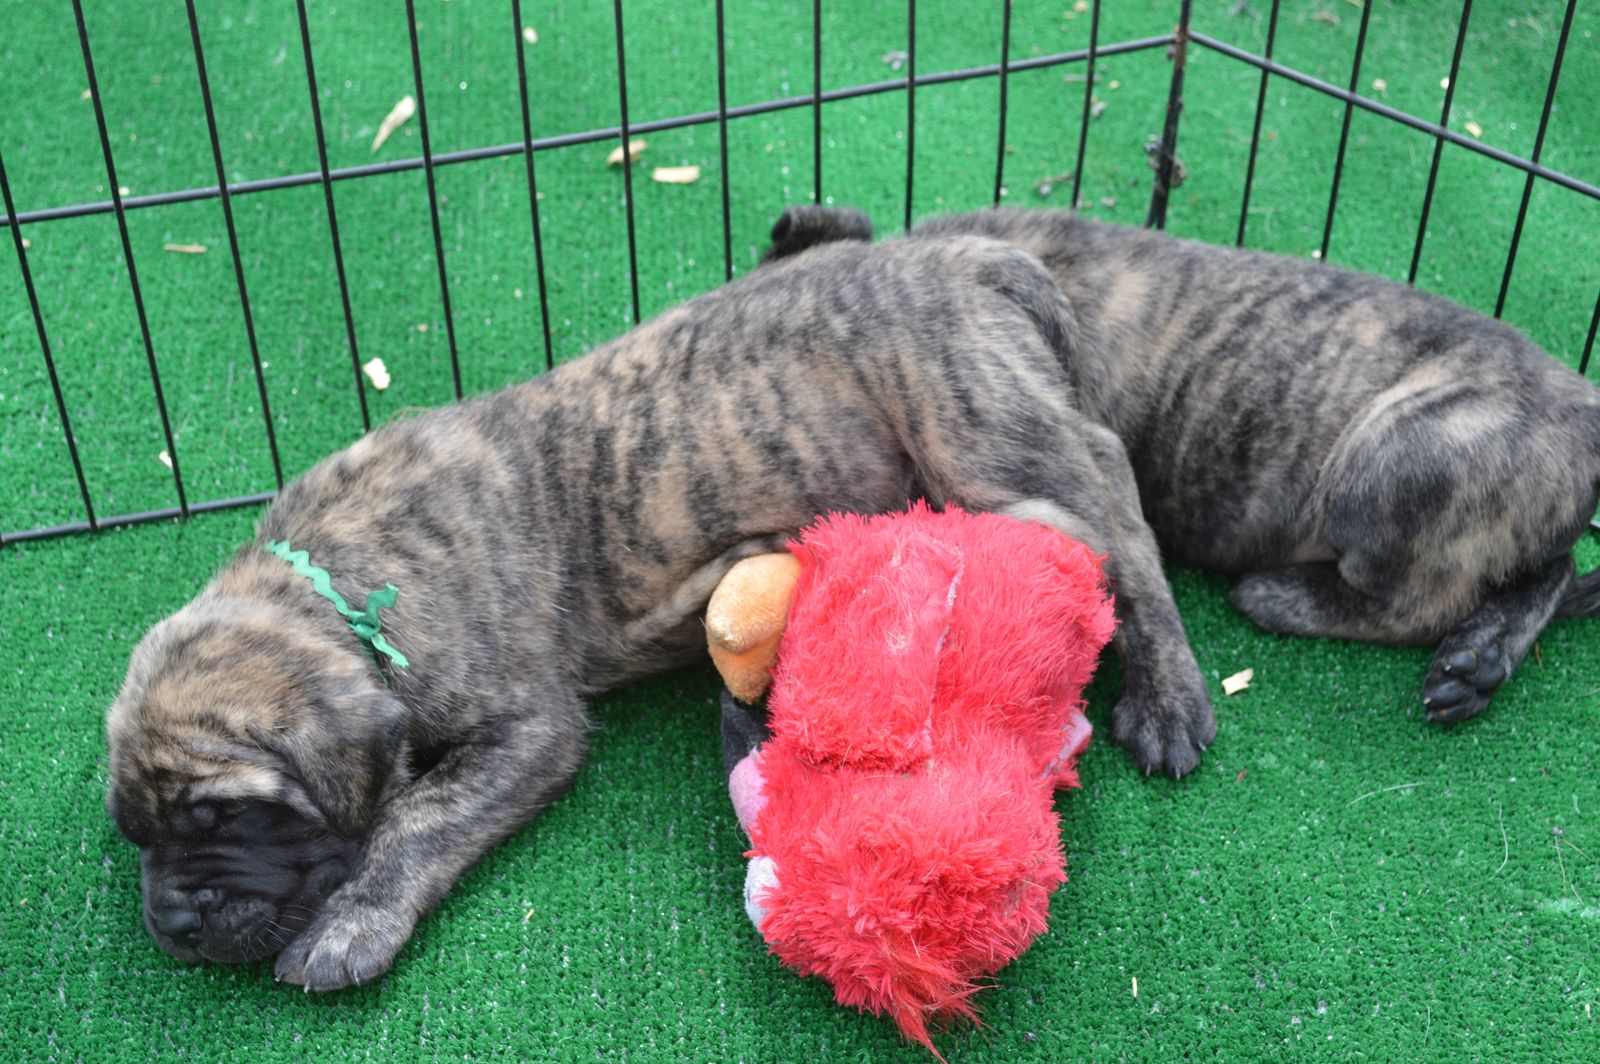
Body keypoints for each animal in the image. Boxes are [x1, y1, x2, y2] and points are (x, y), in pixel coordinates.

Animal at [105, 233, 1216, 994]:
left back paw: (1168, 697)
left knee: (1117, 518)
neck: (334, 580)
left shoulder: (528, 725)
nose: (171, 927)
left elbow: (416, 816)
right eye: (136, 832)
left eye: (226, 816)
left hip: (975, 433)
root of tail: (966, 253)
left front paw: (349, 924)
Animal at [767, 205, 1600, 724]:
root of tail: (1587, 410)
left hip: (1394, 458)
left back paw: (1283, 598)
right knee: (1552, 571)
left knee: (1420, 599)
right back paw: (1480, 658)